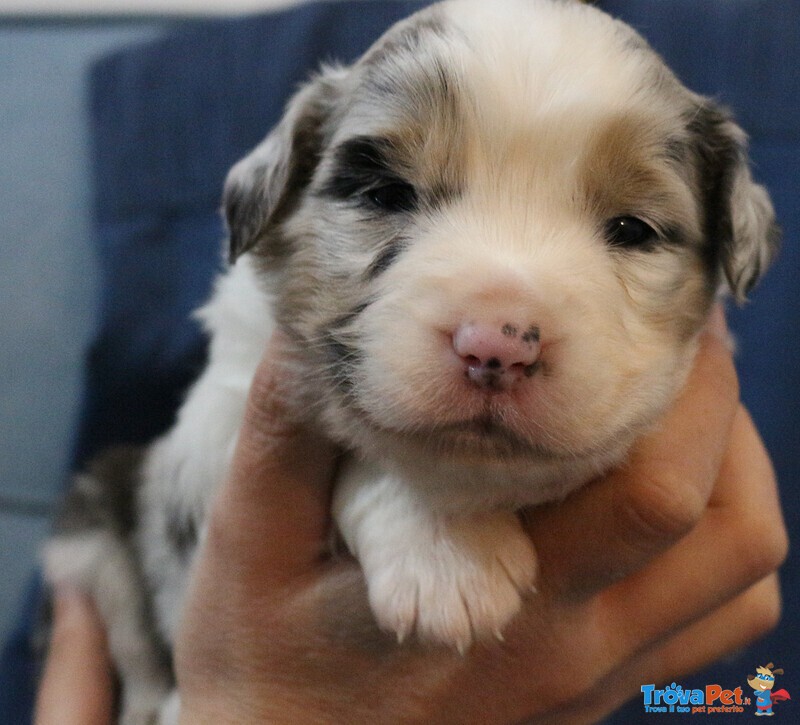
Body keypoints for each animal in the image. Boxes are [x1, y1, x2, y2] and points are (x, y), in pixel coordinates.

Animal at [42, 0, 776, 720]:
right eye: (386, 195)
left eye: (632, 230)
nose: (497, 343)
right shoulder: (213, 422)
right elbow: (378, 447)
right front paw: (447, 556)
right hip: (93, 523)